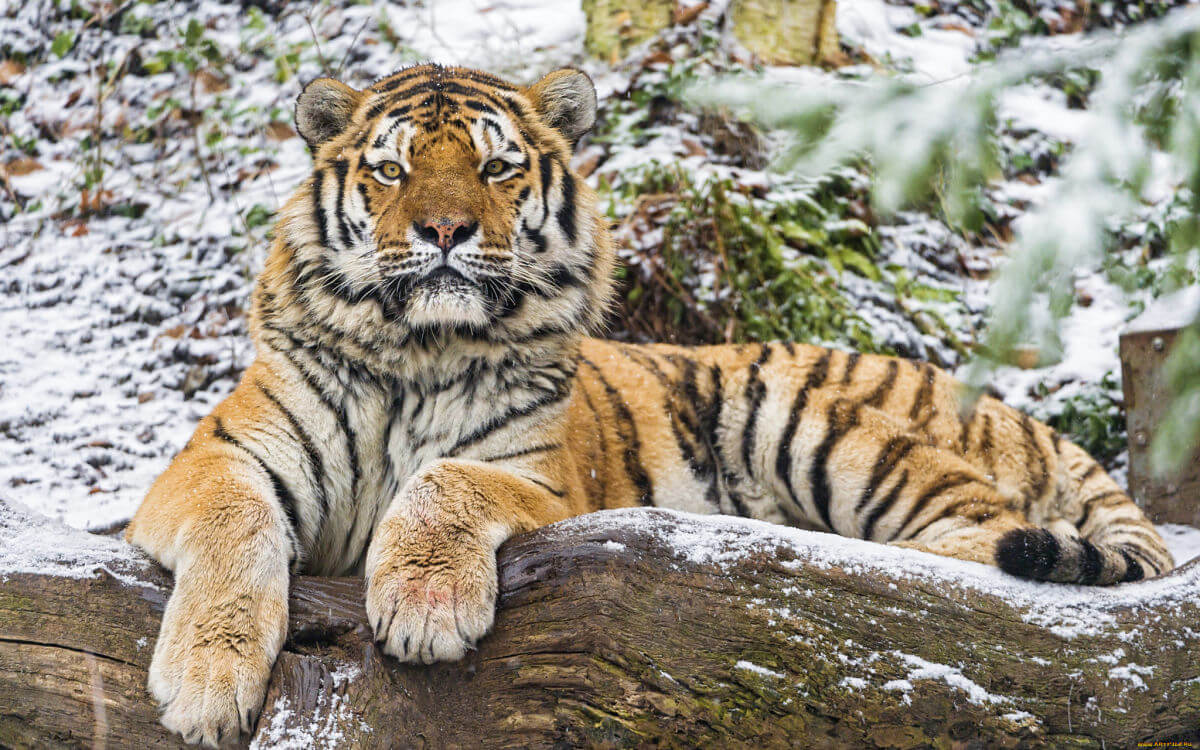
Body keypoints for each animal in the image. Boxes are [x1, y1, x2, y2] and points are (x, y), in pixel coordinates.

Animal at [126, 63, 1176, 744]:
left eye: (496, 167)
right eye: (391, 170)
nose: (445, 229)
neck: (422, 350)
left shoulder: (541, 478)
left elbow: (443, 480)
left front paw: (424, 604)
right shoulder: (217, 459)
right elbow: (234, 526)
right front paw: (207, 681)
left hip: (816, 421)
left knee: (973, 548)